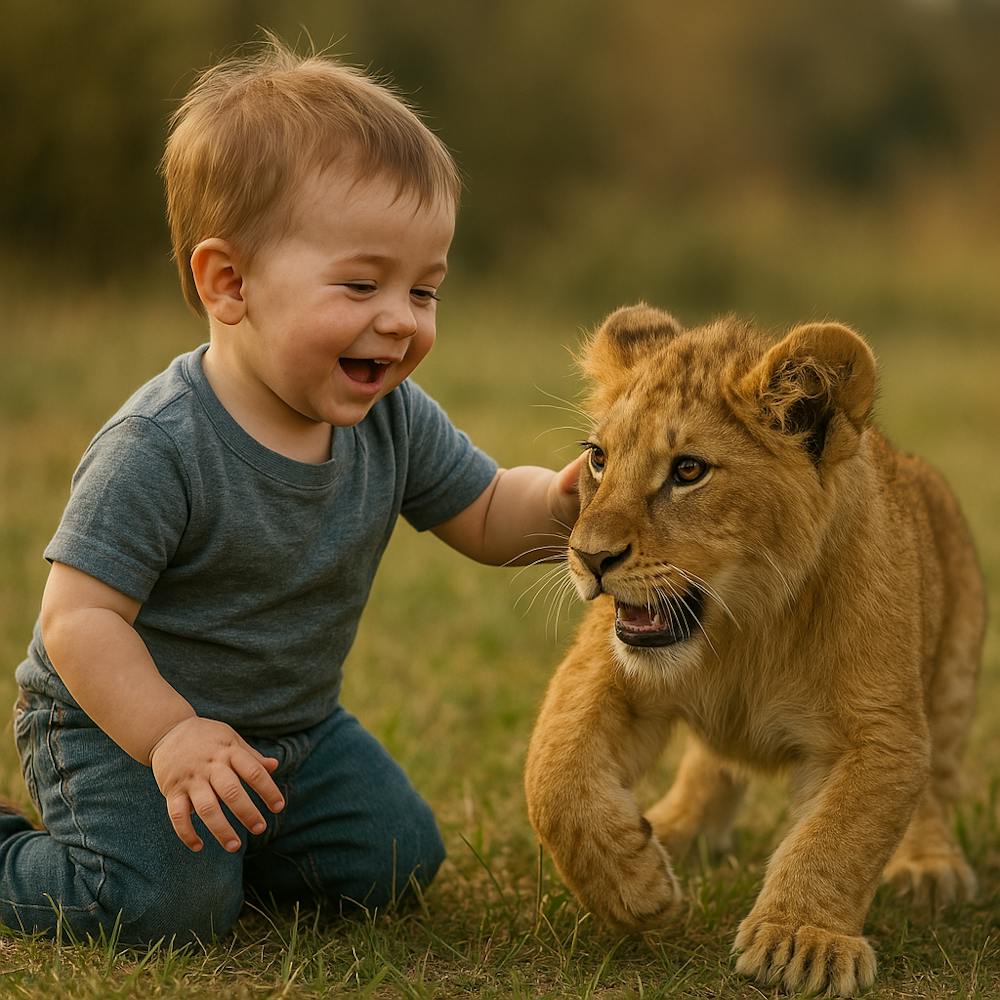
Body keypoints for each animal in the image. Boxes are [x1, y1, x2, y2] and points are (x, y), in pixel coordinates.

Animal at [524, 305, 986, 996]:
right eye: (598, 459)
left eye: (689, 470)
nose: (588, 557)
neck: (744, 626)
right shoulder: (607, 670)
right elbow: (553, 773)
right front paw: (635, 889)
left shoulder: (880, 730)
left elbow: (839, 835)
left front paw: (801, 941)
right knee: (711, 760)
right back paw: (675, 830)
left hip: (953, 675)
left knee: (936, 785)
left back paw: (930, 866)